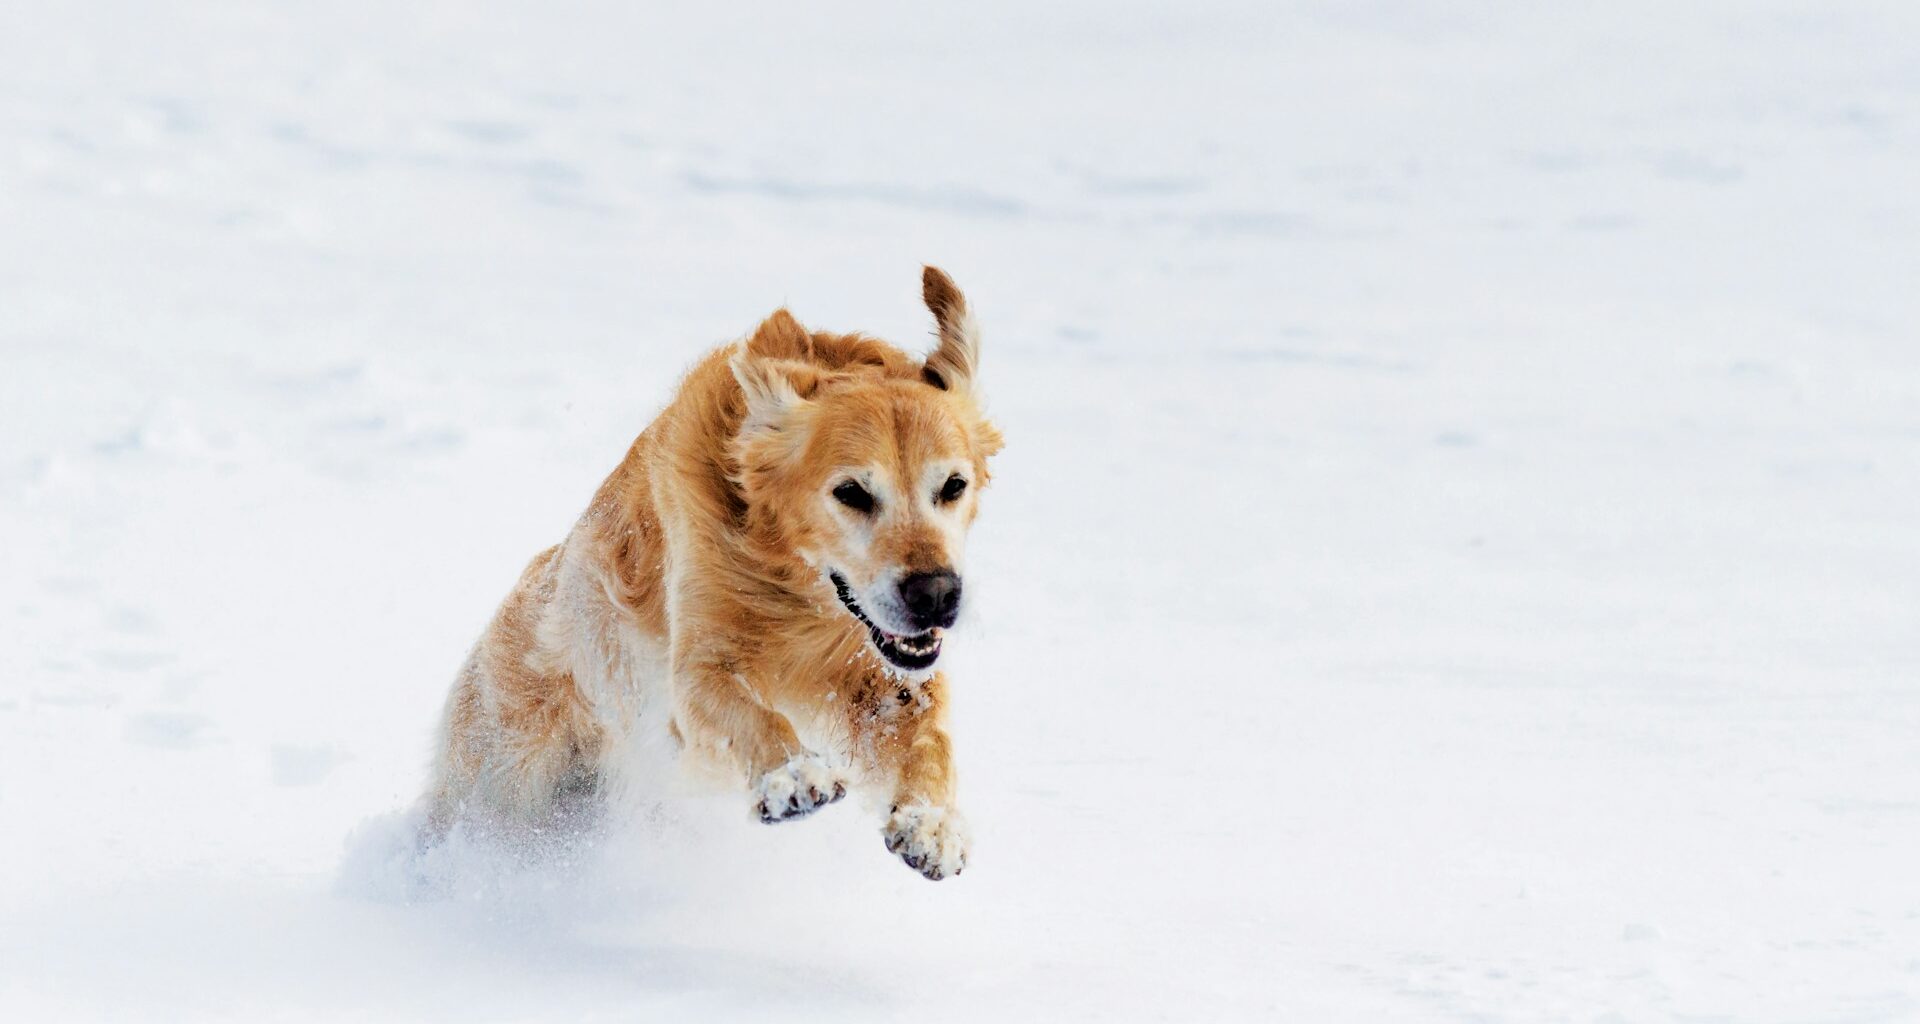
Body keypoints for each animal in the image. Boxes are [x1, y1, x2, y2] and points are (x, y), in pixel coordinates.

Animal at [412, 265, 998, 879]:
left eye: (953, 486)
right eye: (852, 492)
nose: (937, 596)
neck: (795, 591)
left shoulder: (887, 676)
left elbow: (930, 734)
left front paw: (932, 821)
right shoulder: (692, 673)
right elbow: (745, 710)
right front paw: (791, 774)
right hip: (502, 774)